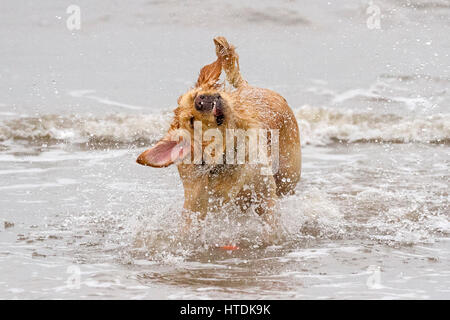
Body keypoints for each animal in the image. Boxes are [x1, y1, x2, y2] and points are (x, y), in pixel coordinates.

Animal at [135, 36, 300, 229]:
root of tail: (248, 87)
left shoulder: (264, 192)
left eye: (195, 96)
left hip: (288, 174)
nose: (200, 100)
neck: (226, 156)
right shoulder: (197, 204)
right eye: (192, 122)